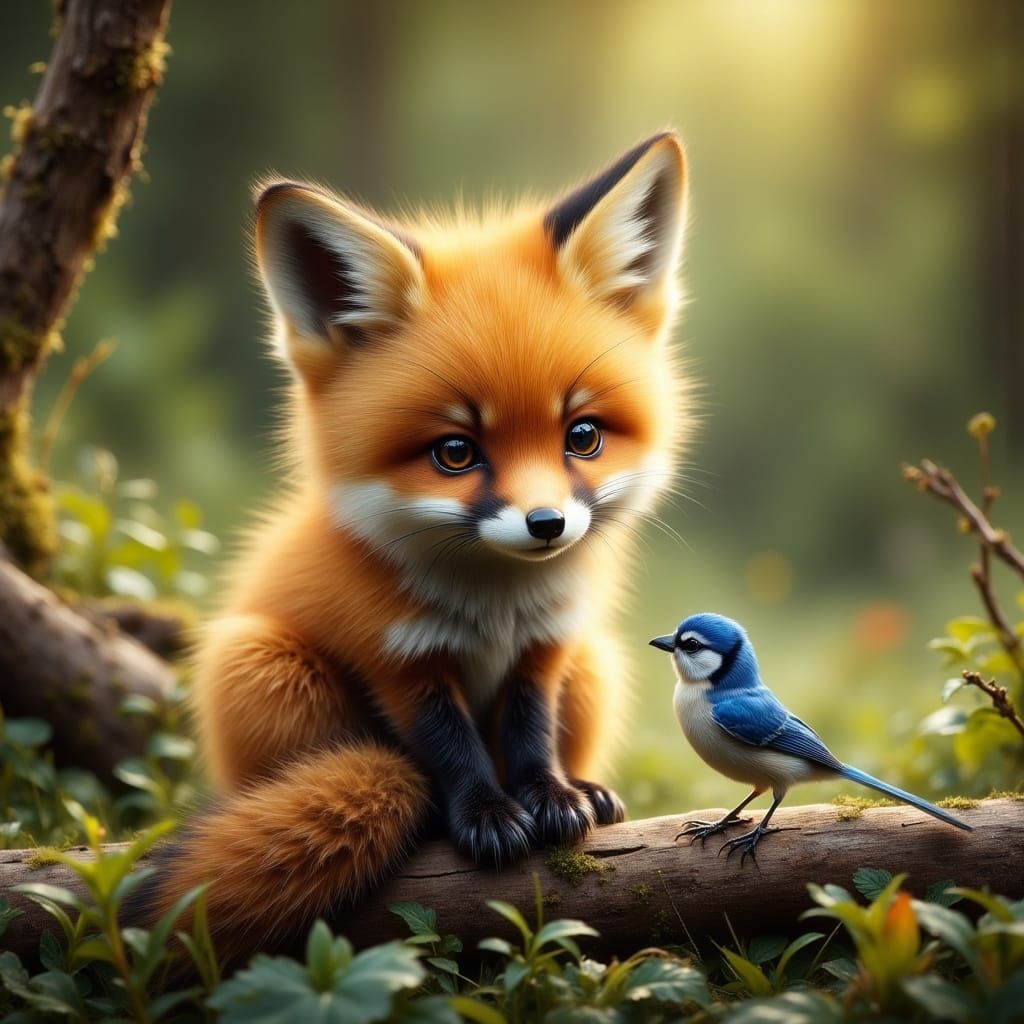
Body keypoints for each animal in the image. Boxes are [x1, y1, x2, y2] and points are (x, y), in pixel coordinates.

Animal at [142, 131, 691, 962]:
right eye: (455, 453)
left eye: (583, 437)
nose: (547, 525)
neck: (496, 607)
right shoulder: (398, 658)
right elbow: (450, 747)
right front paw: (486, 816)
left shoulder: (550, 644)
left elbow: (531, 735)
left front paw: (554, 797)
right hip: (262, 668)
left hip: (597, 666)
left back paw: (587, 788)